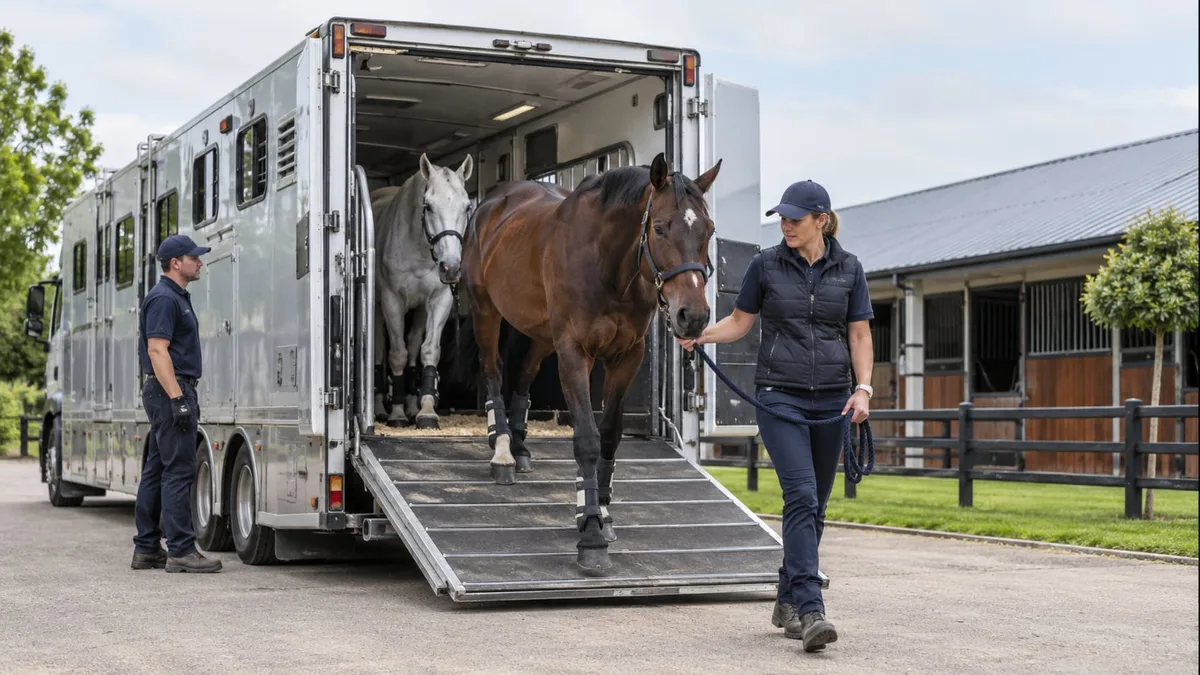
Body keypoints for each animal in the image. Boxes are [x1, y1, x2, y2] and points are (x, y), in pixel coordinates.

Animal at [372, 152, 473, 429]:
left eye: (466, 207)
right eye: (428, 206)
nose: (451, 267)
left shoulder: (439, 300)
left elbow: (429, 351)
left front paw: (426, 411)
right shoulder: (392, 302)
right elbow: (396, 354)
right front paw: (396, 414)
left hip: (418, 310)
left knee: (413, 343)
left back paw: (409, 405)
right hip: (378, 309)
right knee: (380, 349)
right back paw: (381, 409)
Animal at [459, 152, 721, 570]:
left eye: (709, 231)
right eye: (659, 228)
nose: (692, 316)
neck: (608, 266)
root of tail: (491, 205)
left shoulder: (627, 356)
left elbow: (610, 436)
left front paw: (604, 514)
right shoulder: (574, 353)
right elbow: (586, 439)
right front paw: (592, 533)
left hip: (540, 333)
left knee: (524, 375)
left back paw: (520, 449)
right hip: (487, 312)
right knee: (494, 372)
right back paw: (502, 453)